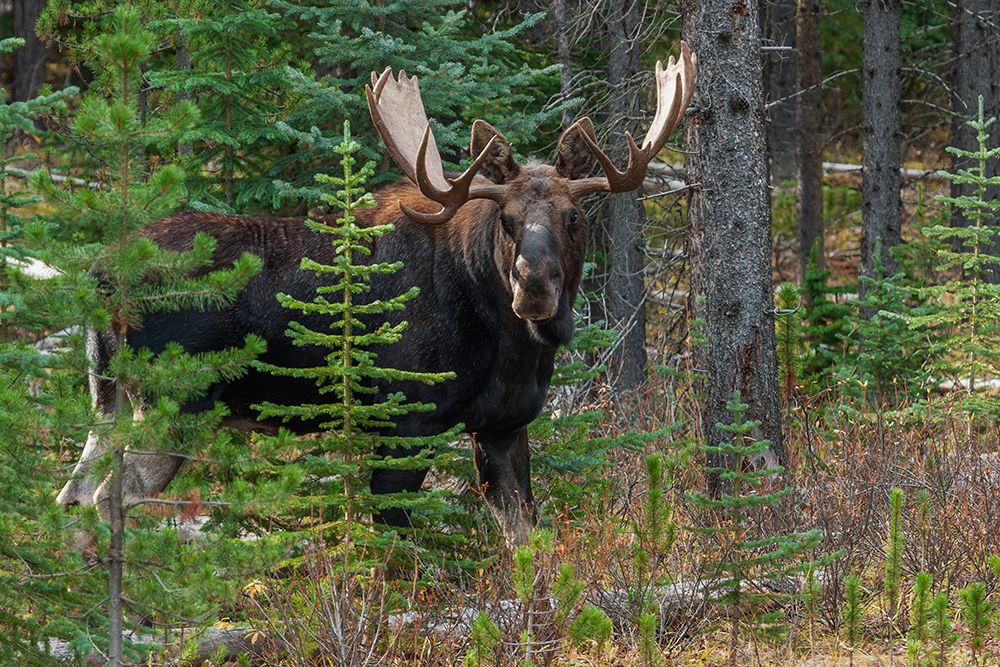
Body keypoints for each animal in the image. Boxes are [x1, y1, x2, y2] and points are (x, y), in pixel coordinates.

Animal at [56, 43, 696, 545]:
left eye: (573, 217)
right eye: (507, 219)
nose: (533, 284)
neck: (511, 346)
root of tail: (100, 273)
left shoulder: (503, 424)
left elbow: (526, 537)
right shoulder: (403, 424)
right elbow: (393, 541)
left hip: (107, 397)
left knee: (72, 493)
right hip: (174, 403)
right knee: (108, 497)